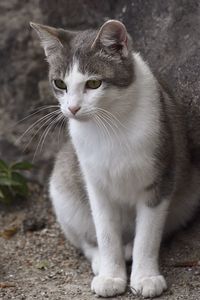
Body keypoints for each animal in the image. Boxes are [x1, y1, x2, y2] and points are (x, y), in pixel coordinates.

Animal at [30, 20, 200, 298]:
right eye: (60, 83)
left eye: (93, 83)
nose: (72, 108)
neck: (110, 123)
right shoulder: (95, 183)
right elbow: (105, 232)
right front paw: (111, 275)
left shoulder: (161, 176)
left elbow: (148, 235)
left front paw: (146, 277)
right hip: (62, 189)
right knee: (84, 239)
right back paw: (102, 259)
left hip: (190, 193)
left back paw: (129, 249)